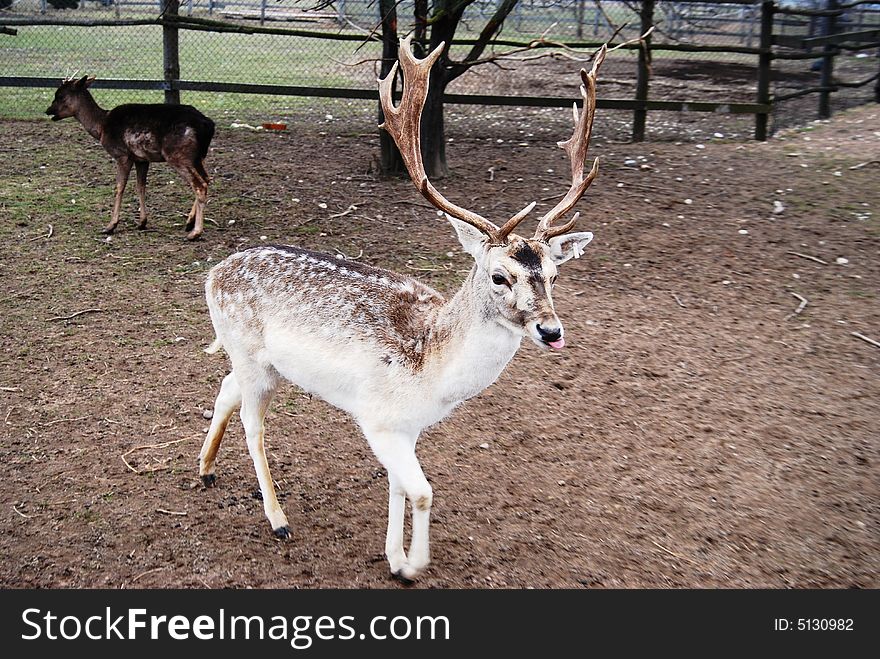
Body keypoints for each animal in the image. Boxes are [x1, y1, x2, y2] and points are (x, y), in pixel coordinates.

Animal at [46, 75, 215, 240]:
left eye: (60, 95)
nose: (48, 110)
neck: (101, 127)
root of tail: (207, 125)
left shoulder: (122, 154)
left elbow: (119, 187)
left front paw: (110, 226)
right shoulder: (141, 159)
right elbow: (141, 186)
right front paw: (142, 223)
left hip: (178, 154)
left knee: (199, 184)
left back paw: (195, 233)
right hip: (197, 156)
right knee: (206, 179)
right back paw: (189, 222)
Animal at [199, 37, 604, 584]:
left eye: (554, 276)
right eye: (499, 276)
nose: (551, 330)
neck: (431, 373)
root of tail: (212, 274)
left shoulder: (406, 429)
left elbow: (398, 485)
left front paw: (393, 557)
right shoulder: (377, 417)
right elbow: (423, 491)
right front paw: (412, 564)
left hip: (259, 361)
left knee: (226, 388)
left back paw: (205, 469)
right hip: (249, 354)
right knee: (253, 423)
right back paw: (278, 519)